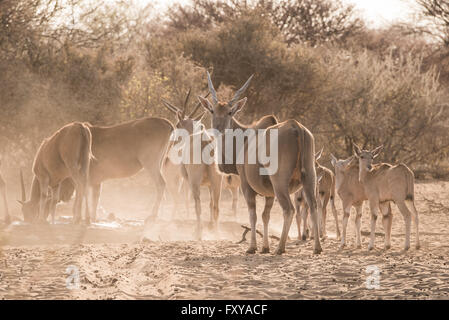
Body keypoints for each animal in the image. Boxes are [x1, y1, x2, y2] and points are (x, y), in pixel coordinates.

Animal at [198, 72, 320, 255]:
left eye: (230, 112)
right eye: (212, 110)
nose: (218, 129)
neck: (243, 139)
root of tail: (296, 127)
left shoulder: (246, 186)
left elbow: (253, 214)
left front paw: (253, 247)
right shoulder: (269, 194)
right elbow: (265, 215)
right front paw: (265, 247)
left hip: (279, 182)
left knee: (288, 209)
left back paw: (280, 248)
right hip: (309, 177)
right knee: (313, 206)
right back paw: (317, 248)